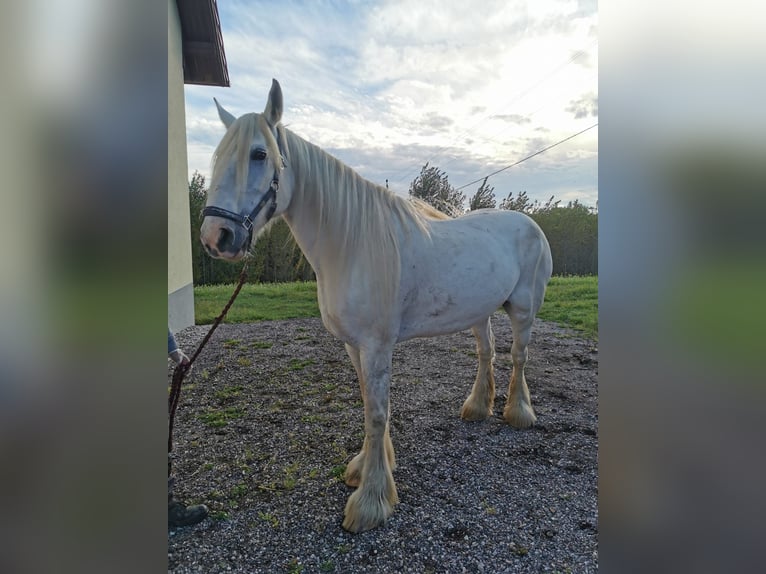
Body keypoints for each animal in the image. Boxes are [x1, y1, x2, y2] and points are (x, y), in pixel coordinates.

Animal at [200, 79, 553, 533]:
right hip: (480, 313)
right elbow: (369, 403)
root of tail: (531, 224)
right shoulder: (354, 345)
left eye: (259, 154)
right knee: (486, 353)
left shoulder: (377, 345)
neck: (351, 247)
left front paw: (370, 501)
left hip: (524, 310)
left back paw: (518, 413)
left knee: (519, 357)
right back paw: (477, 408)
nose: (216, 236)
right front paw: (366, 468)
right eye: (219, 157)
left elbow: (378, 413)